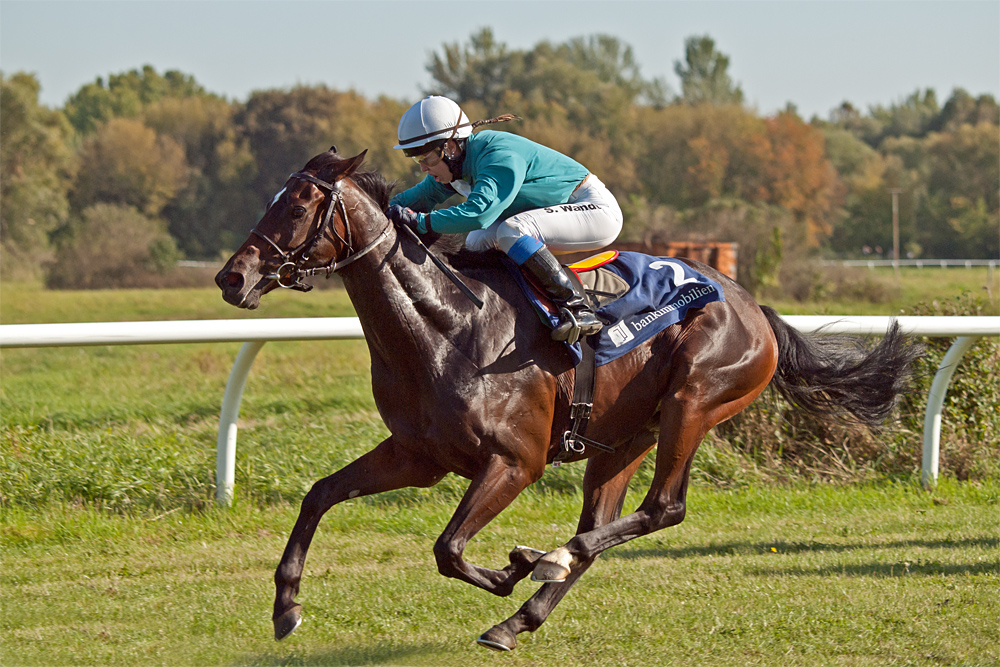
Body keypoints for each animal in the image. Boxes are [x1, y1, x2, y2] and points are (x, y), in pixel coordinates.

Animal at [215, 150, 916, 652]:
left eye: (299, 204)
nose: (232, 276)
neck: (450, 328)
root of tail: (754, 307)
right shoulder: (420, 456)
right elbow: (320, 494)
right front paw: (286, 607)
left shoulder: (515, 462)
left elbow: (448, 549)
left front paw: (509, 570)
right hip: (623, 437)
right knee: (601, 525)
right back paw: (519, 616)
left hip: (695, 399)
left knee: (661, 509)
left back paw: (543, 561)